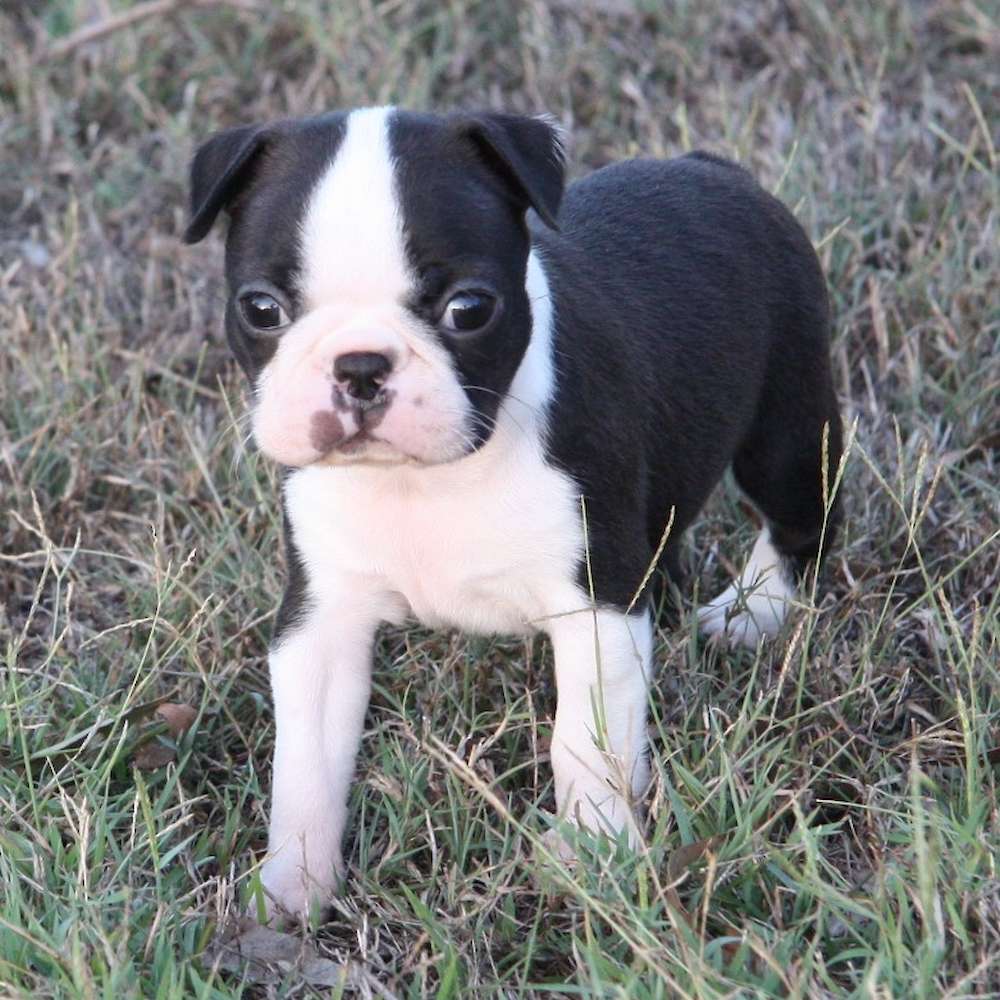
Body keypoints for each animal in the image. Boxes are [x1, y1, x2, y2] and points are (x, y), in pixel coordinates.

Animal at [184, 107, 842, 920]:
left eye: (469, 309)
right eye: (261, 309)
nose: (361, 366)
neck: (424, 482)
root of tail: (711, 167)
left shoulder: (595, 604)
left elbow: (584, 742)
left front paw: (596, 857)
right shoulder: (322, 618)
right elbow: (308, 760)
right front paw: (291, 885)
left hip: (786, 421)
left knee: (801, 517)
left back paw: (755, 610)